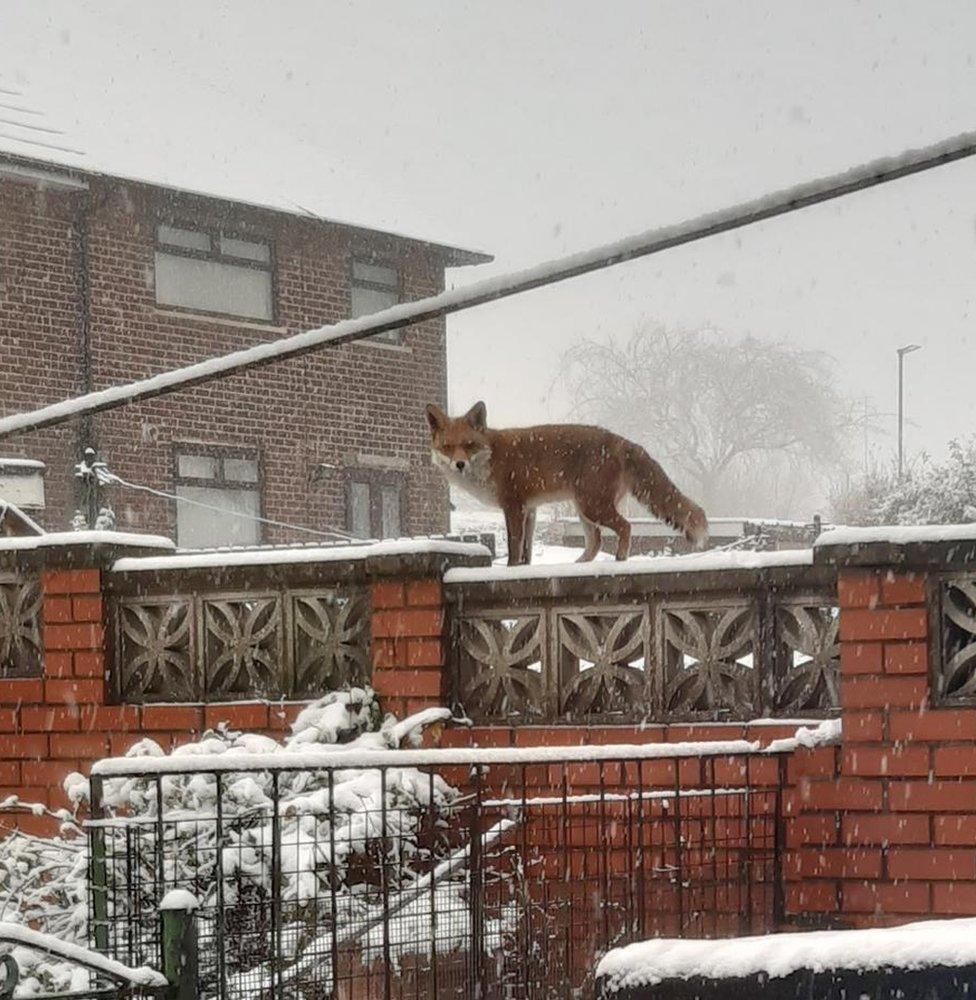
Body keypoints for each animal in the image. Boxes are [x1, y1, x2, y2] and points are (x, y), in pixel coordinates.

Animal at [424, 400, 704, 572]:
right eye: (448, 447)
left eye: (469, 445)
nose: (459, 464)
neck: (490, 459)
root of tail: (623, 441)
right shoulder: (530, 510)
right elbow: (526, 551)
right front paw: (523, 570)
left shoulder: (513, 506)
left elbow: (514, 547)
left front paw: (511, 570)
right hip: (585, 510)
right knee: (595, 543)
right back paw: (577, 565)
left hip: (592, 506)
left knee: (625, 527)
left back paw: (619, 560)